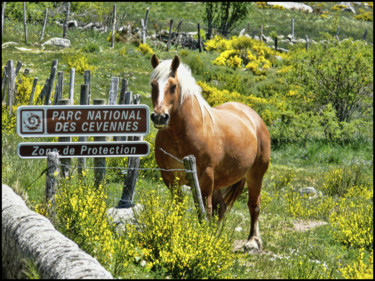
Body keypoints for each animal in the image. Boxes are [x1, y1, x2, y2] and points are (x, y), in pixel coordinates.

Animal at [149, 53, 270, 250]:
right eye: (153, 84)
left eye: (173, 86)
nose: (159, 117)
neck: (181, 134)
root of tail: (253, 116)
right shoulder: (170, 178)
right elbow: (179, 209)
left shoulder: (205, 177)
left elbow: (204, 211)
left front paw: (202, 241)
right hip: (219, 182)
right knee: (222, 208)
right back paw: (217, 238)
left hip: (255, 175)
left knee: (254, 206)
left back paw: (252, 241)